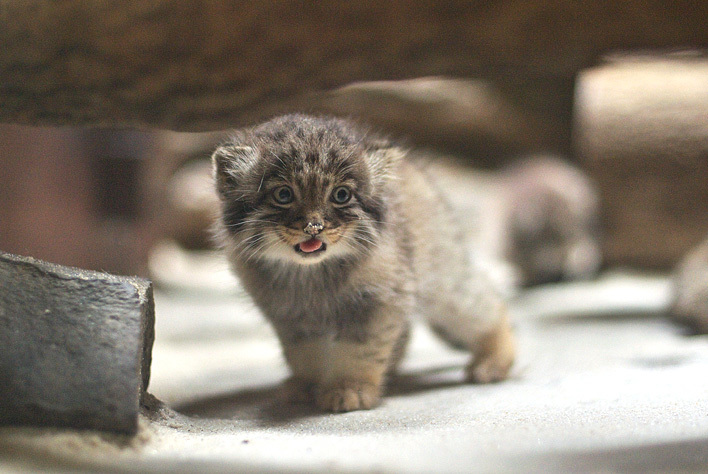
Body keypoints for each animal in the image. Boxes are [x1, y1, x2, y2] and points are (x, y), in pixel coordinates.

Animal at [212, 114, 516, 412]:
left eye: (341, 195)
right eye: (283, 195)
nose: (314, 227)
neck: (311, 275)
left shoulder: (377, 301)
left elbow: (359, 350)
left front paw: (350, 388)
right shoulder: (290, 317)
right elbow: (305, 354)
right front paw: (308, 385)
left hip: (443, 279)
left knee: (487, 304)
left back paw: (494, 361)